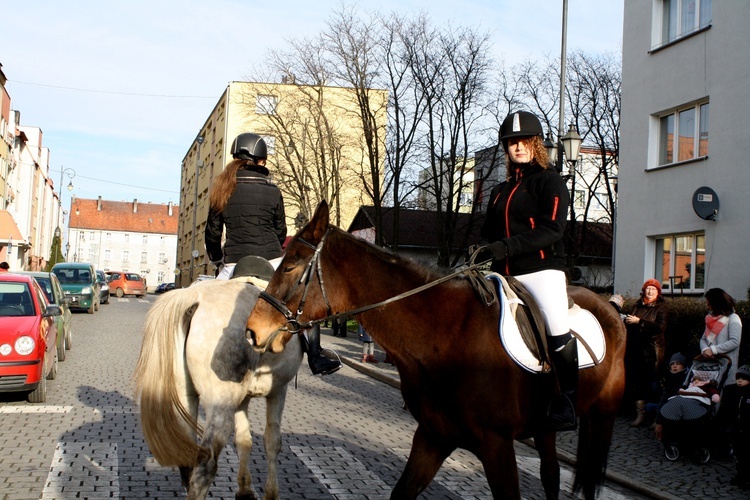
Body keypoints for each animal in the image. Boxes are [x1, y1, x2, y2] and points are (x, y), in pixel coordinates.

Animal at [135, 278, 302, 500]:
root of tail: (192, 295)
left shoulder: (242, 399)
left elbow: (244, 440)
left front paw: (245, 488)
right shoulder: (278, 391)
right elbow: (273, 441)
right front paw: (272, 493)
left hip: (186, 399)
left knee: (188, 461)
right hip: (220, 405)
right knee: (206, 464)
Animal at [247, 201, 628, 498]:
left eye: (291, 264)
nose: (253, 330)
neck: (446, 334)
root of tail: (610, 307)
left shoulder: (497, 445)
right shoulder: (433, 437)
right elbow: (402, 492)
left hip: (602, 416)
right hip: (544, 426)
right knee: (551, 476)